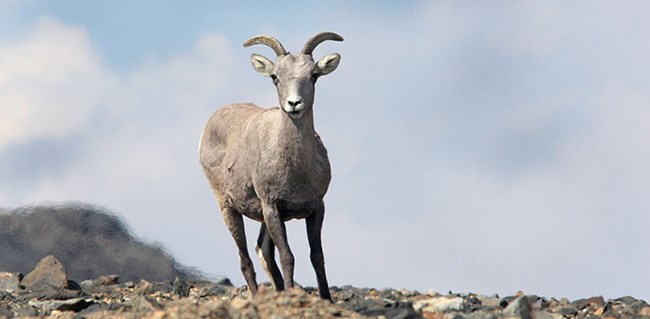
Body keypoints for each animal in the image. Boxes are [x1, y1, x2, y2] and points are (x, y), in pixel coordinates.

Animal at [197, 31, 342, 302]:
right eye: (275, 77)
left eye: (314, 75)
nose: (294, 104)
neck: (296, 171)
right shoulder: (273, 208)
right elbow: (288, 257)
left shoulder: (316, 208)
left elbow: (317, 257)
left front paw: (326, 299)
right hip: (228, 208)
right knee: (245, 259)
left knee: (262, 250)